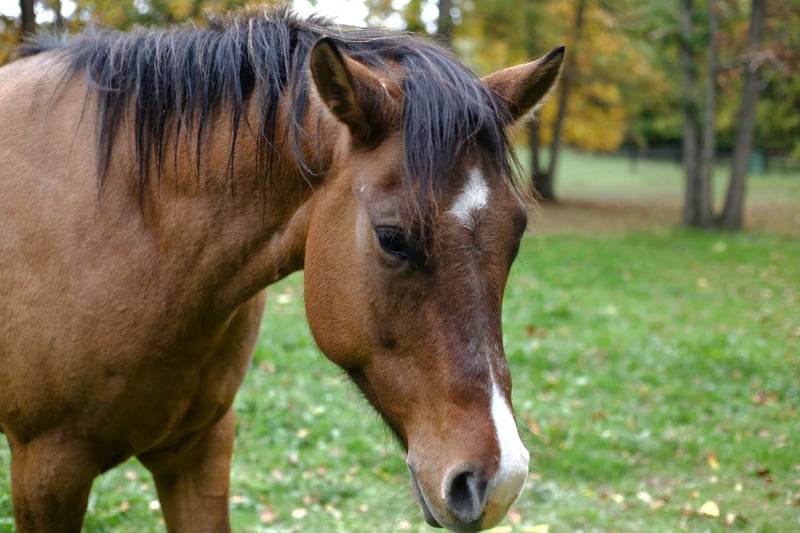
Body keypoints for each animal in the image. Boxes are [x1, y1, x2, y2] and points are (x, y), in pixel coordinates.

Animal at [0, 7, 563, 532]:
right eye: (392, 239)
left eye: (515, 235)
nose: (500, 481)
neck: (132, 224)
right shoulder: (48, 467)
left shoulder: (199, 448)